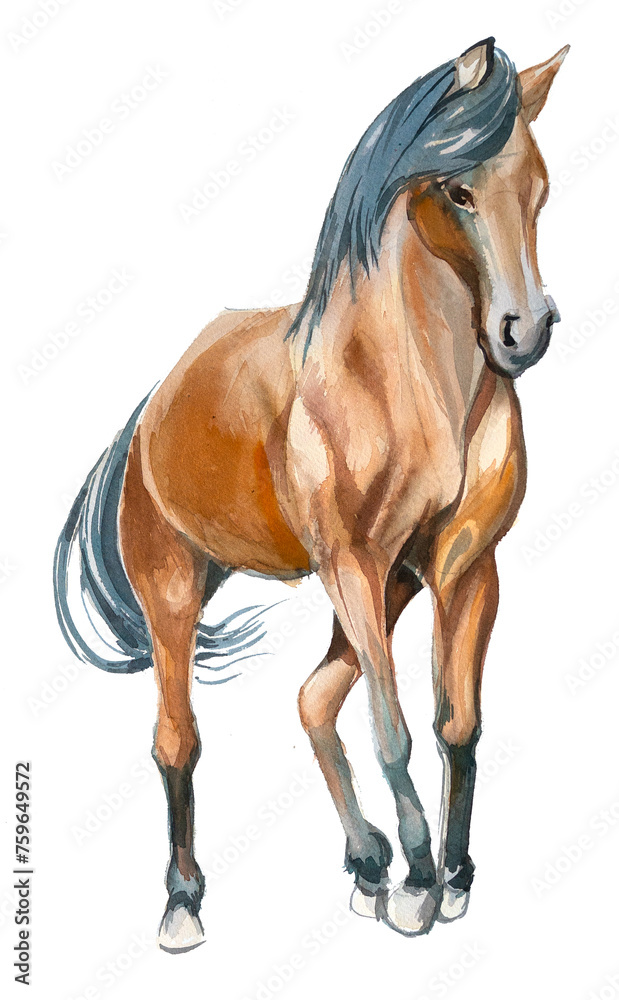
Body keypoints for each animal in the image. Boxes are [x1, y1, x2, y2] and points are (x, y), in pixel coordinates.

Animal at [54, 37, 568, 953]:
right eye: (458, 188)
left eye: (538, 186)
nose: (524, 332)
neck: (412, 386)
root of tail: (152, 409)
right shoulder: (354, 566)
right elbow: (393, 731)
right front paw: (419, 885)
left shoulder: (463, 568)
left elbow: (455, 724)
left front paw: (451, 877)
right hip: (178, 591)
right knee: (178, 739)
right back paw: (184, 903)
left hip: (384, 588)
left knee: (312, 699)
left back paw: (364, 864)